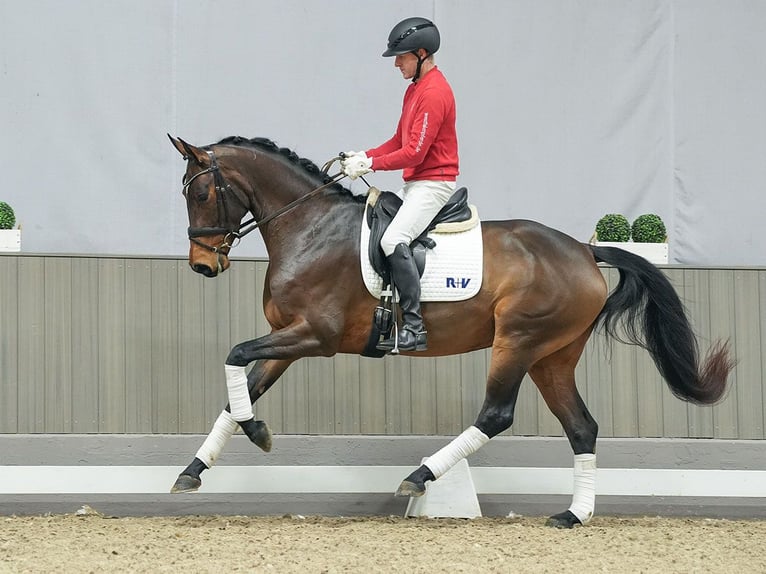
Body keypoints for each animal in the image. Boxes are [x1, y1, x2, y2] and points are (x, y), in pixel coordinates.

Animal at [166, 135, 732, 532]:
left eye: (202, 192)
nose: (201, 266)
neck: (310, 227)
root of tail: (585, 250)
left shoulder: (315, 338)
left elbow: (235, 354)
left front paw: (257, 433)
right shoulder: (288, 336)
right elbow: (239, 388)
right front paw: (195, 469)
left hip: (518, 342)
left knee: (496, 415)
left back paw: (421, 477)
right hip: (552, 357)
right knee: (582, 427)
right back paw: (574, 515)